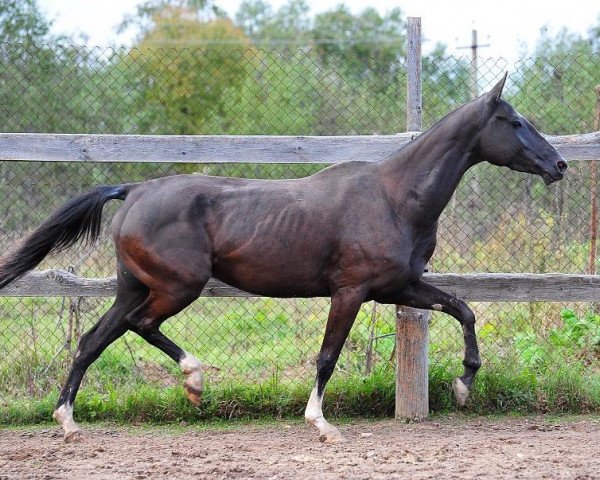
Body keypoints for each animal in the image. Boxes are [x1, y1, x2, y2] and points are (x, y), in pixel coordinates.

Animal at [0, 75, 568, 442]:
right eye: (514, 121)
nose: (559, 164)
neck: (395, 198)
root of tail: (134, 190)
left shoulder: (398, 288)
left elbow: (464, 309)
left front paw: (464, 385)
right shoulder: (351, 291)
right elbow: (328, 355)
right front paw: (321, 423)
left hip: (136, 285)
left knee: (94, 339)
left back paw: (69, 420)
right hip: (177, 285)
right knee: (139, 326)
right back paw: (194, 380)